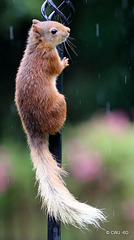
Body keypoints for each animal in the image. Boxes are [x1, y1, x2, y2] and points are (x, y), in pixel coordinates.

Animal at [14, 20, 105, 229]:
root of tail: (33, 130)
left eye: (57, 23)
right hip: (60, 104)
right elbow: (56, 69)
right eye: (54, 31)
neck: (37, 47)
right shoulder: (50, 59)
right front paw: (64, 62)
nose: (69, 30)